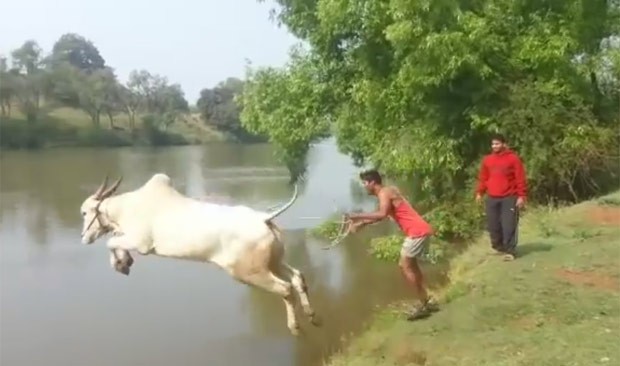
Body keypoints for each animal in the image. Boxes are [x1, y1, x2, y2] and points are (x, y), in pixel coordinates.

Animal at [79, 173, 320, 336]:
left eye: (83, 213)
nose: (83, 237)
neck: (126, 207)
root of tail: (264, 219)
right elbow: (113, 239)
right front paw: (124, 261)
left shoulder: (141, 243)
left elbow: (110, 241)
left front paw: (122, 264)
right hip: (273, 262)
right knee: (297, 277)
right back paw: (311, 315)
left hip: (248, 272)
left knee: (285, 288)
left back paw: (295, 327)